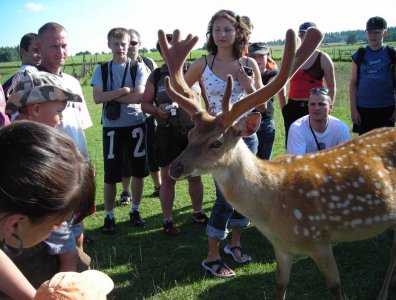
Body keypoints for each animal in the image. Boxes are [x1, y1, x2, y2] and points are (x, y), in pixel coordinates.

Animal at [158, 28, 396, 300]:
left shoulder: (319, 239)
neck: (273, 205)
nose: (175, 167)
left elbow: (336, 289)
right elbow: (280, 286)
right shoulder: (282, 248)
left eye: (216, 142)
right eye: (190, 135)